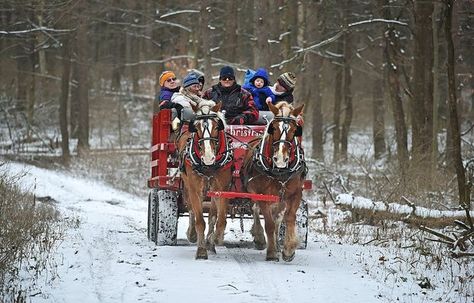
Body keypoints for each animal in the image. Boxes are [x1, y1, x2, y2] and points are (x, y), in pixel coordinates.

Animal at [176, 100, 233, 262]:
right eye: (196, 127)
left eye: (217, 126)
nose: (208, 157)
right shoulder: (195, 188)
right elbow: (199, 220)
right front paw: (201, 251)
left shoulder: (222, 188)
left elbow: (220, 219)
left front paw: (215, 239)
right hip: (188, 185)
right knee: (191, 209)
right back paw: (192, 234)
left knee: (213, 214)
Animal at [243, 101, 306, 262]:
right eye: (274, 128)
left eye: (295, 130)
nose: (281, 159)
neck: (280, 172)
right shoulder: (263, 196)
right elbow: (269, 224)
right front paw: (271, 252)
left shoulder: (295, 194)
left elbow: (289, 218)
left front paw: (288, 249)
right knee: (256, 209)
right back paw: (260, 238)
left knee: (278, 218)